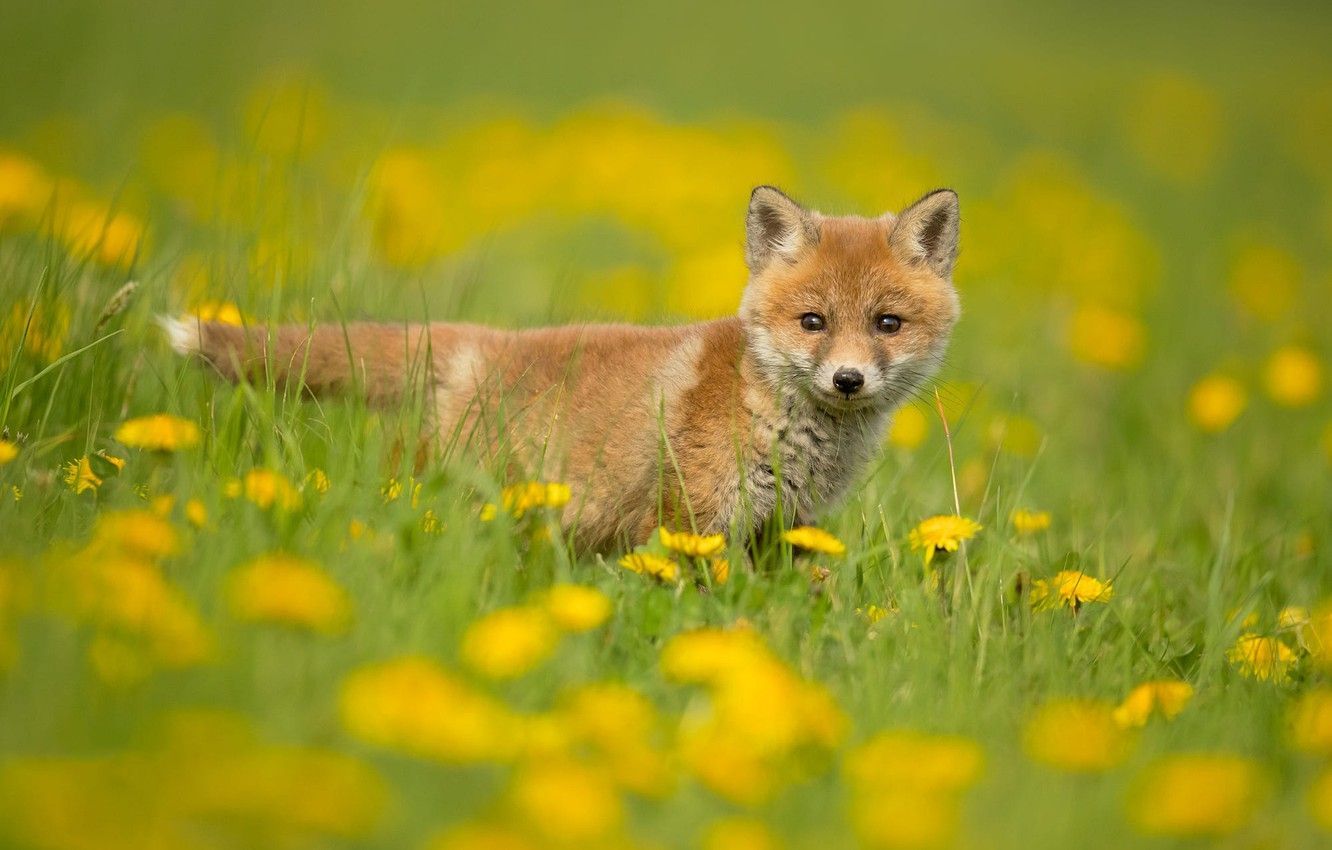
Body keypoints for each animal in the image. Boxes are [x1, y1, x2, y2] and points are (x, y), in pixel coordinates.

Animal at [164, 186, 961, 553]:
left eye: (887, 324)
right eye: (813, 323)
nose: (848, 381)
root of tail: (482, 341)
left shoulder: (784, 532)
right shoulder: (689, 522)